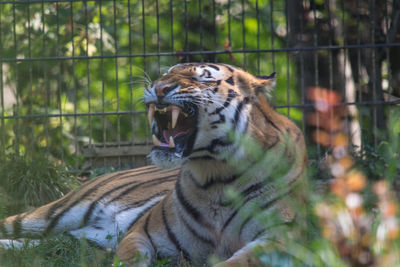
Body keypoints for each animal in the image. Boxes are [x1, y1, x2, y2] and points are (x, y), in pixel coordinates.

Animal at [0, 63, 308, 267]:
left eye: (204, 79)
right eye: (165, 73)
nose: (159, 87)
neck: (216, 174)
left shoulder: (279, 238)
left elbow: (235, 263)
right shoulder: (143, 233)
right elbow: (130, 258)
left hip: (80, 238)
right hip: (53, 214)